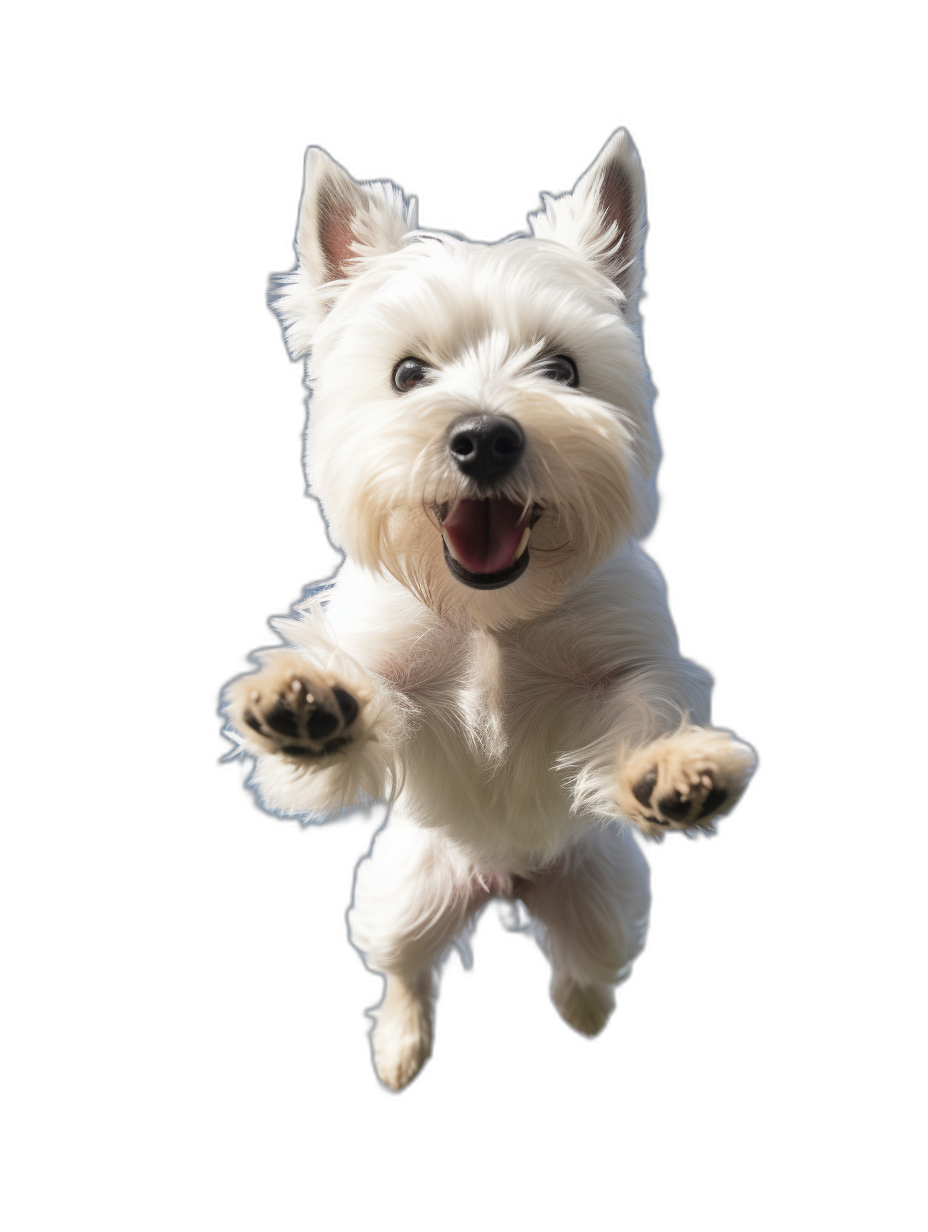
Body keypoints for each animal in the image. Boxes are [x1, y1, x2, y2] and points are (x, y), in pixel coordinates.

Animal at [223, 132, 754, 1098]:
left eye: (563, 369)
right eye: (406, 374)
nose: (484, 438)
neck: (492, 615)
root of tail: (507, 881)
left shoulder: (628, 656)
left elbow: (647, 700)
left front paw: (676, 766)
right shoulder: (384, 685)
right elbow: (323, 742)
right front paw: (306, 702)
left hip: (606, 893)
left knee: (589, 963)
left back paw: (582, 1011)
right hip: (403, 889)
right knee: (403, 968)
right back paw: (400, 1050)